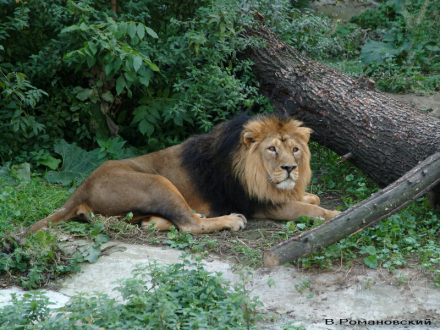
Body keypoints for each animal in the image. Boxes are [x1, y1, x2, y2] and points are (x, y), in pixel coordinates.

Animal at [23, 114, 340, 237]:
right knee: (189, 226)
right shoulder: (261, 204)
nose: (290, 168)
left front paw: (309, 195)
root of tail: (83, 186)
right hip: (158, 182)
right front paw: (335, 215)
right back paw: (229, 220)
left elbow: (311, 197)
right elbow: (308, 209)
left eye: (295, 150)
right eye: (272, 149)